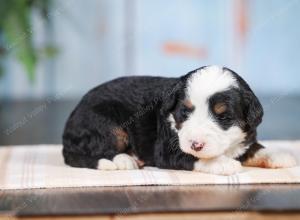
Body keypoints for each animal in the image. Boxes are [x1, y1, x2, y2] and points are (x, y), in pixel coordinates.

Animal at [62, 65, 296, 175]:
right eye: (185, 112)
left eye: (223, 116)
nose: (196, 144)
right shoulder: (166, 149)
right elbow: (192, 157)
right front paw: (223, 164)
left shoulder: (244, 138)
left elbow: (254, 148)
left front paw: (280, 155)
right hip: (105, 123)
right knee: (85, 154)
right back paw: (121, 160)